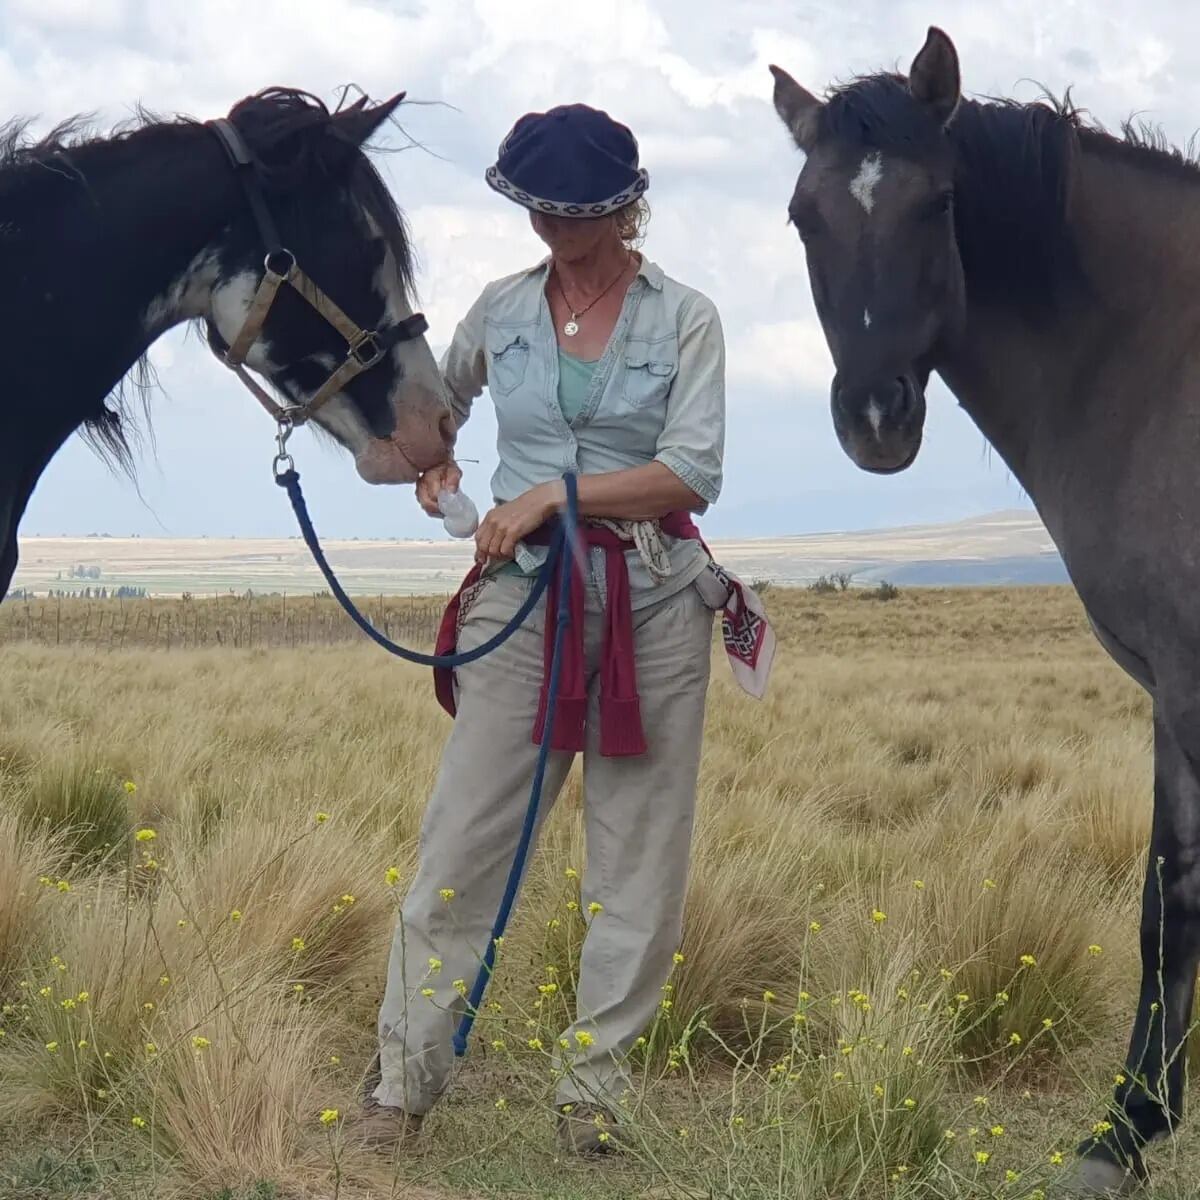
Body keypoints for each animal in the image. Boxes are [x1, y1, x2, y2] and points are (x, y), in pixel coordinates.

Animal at [772, 21, 1200, 1200]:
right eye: (804, 215)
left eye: (939, 202)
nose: (876, 417)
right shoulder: (1168, 690)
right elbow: (1167, 897)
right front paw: (1132, 1124)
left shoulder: (1190, 680)